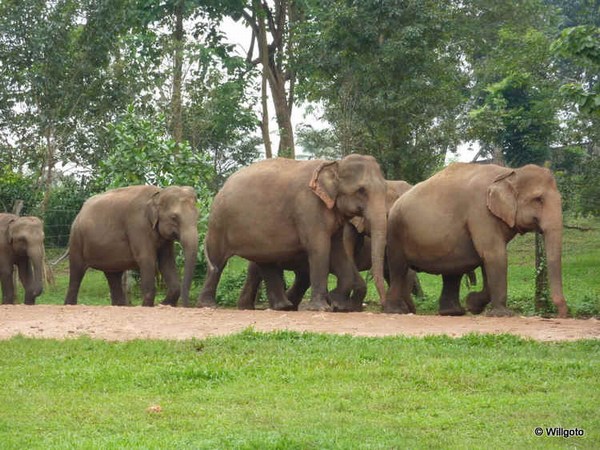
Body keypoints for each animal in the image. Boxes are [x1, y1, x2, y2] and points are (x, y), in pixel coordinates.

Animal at [64, 185, 198, 308]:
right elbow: (146, 259)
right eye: (174, 217)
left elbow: (167, 261)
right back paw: (69, 305)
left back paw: (118, 306)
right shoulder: (138, 226)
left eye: (198, 216)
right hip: (76, 239)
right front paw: (148, 306)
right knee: (76, 272)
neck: (158, 194)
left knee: (113, 275)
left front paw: (164, 304)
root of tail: (80, 211)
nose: (186, 306)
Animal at [199, 153, 390, 312]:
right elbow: (319, 248)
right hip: (218, 223)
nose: (383, 303)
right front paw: (322, 307)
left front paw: (338, 303)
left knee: (266, 262)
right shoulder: (308, 207)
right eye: (361, 190)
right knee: (218, 260)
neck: (335, 163)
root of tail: (223, 186)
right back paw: (209, 305)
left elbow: (338, 251)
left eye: (385, 189)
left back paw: (283, 306)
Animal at [384, 163, 568, 318]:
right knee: (398, 268)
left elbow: (489, 259)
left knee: (452, 271)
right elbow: (494, 254)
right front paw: (501, 314)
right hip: (396, 234)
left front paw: (473, 305)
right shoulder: (481, 212)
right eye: (538, 199)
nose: (561, 315)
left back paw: (453, 312)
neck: (508, 173)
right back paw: (396, 311)